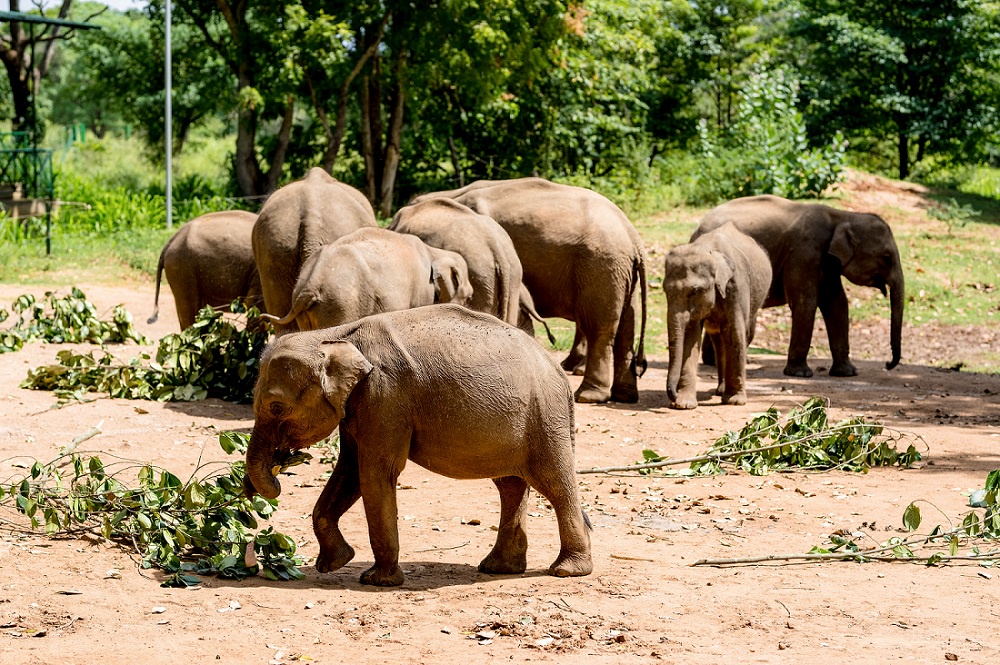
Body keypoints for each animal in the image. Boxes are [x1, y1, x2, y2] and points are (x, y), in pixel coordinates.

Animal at [243, 305, 593, 586]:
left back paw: (567, 571)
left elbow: (375, 472)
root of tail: (558, 370)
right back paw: (499, 568)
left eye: (276, 407)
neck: (334, 336)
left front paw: (377, 581)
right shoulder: (360, 403)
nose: (278, 470)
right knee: (511, 485)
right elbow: (350, 470)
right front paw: (334, 563)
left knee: (554, 482)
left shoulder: (385, 396)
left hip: (544, 419)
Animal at [410, 177, 647, 404]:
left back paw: (587, 396)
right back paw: (622, 395)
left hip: (600, 266)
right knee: (626, 324)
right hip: (618, 270)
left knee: (598, 327)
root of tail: (632, 236)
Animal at [663, 223, 771, 409]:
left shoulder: (736, 287)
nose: (673, 395)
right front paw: (683, 404)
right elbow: (690, 335)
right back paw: (720, 391)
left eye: (695, 290)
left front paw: (735, 401)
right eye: (665, 291)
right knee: (719, 342)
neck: (707, 250)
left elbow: (735, 334)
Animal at [694, 195, 904, 377]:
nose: (888, 364)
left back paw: (713, 361)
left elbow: (837, 304)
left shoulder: (827, 263)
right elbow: (806, 303)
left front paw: (847, 373)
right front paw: (800, 374)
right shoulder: (804, 252)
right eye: (887, 257)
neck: (842, 216)